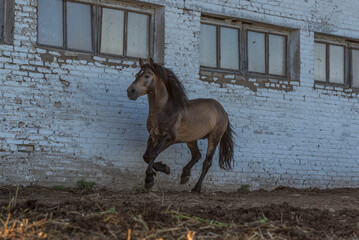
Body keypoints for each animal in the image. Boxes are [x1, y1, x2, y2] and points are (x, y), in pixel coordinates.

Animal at [127, 58, 236, 193]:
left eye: (147, 75)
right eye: (137, 75)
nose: (130, 91)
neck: (165, 110)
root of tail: (222, 111)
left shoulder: (169, 138)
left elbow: (153, 154)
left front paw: (149, 180)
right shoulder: (153, 136)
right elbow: (146, 156)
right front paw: (164, 168)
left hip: (214, 138)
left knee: (207, 162)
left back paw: (196, 188)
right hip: (191, 139)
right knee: (197, 155)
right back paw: (185, 175)